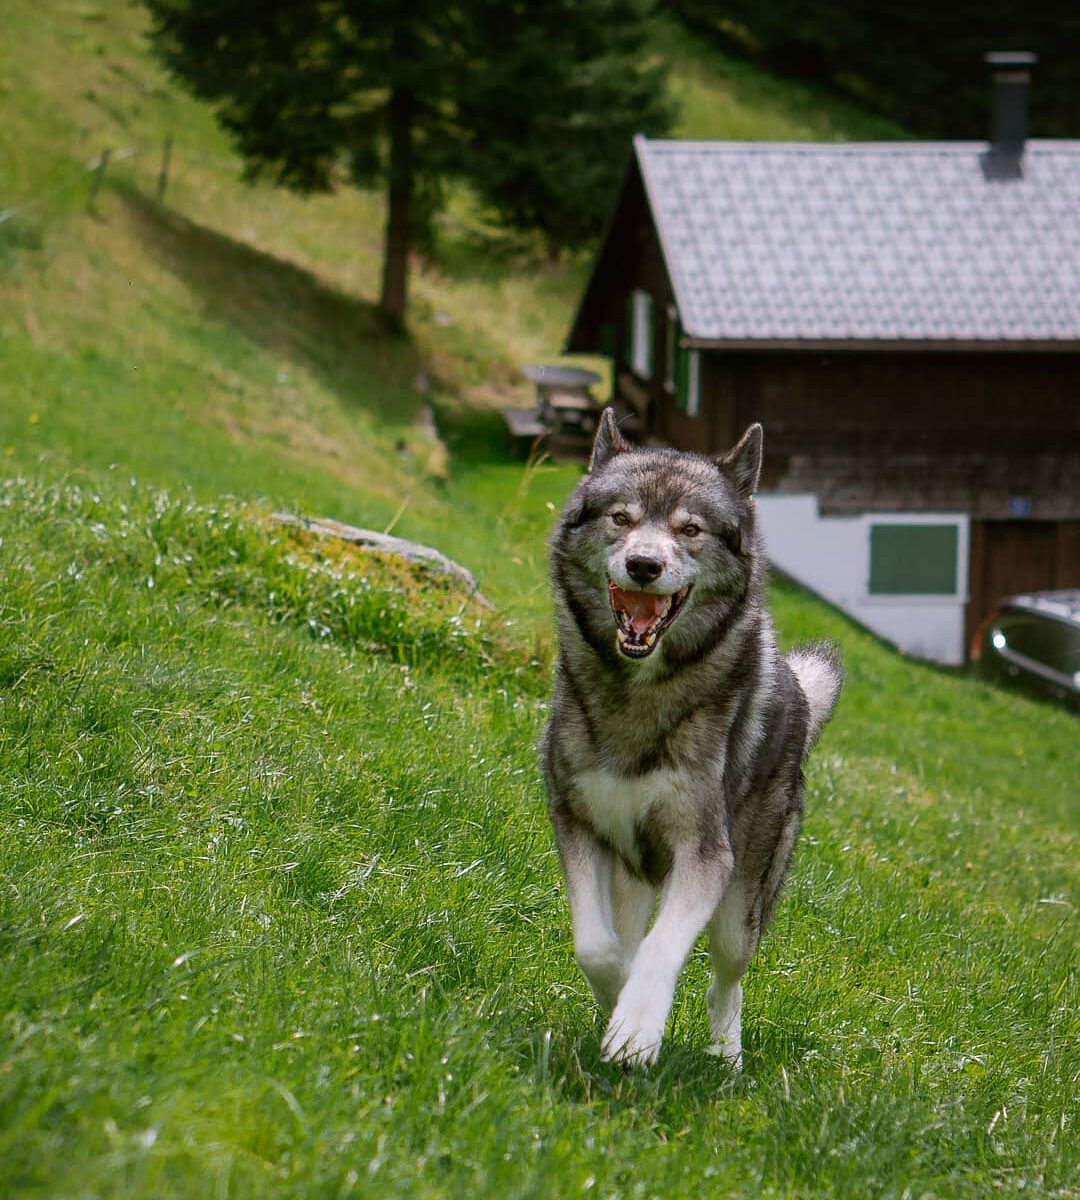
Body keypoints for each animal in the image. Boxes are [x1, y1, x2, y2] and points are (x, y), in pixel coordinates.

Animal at [544, 412, 840, 1070]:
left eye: (691, 529)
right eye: (621, 518)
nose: (643, 566)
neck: (641, 691)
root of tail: (799, 693)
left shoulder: (704, 855)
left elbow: (662, 950)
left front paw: (636, 1030)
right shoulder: (580, 824)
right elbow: (596, 946)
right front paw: (618, 1001)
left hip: (741, 904)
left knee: (727, 980)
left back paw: (726, 1057)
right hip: (631, 872)